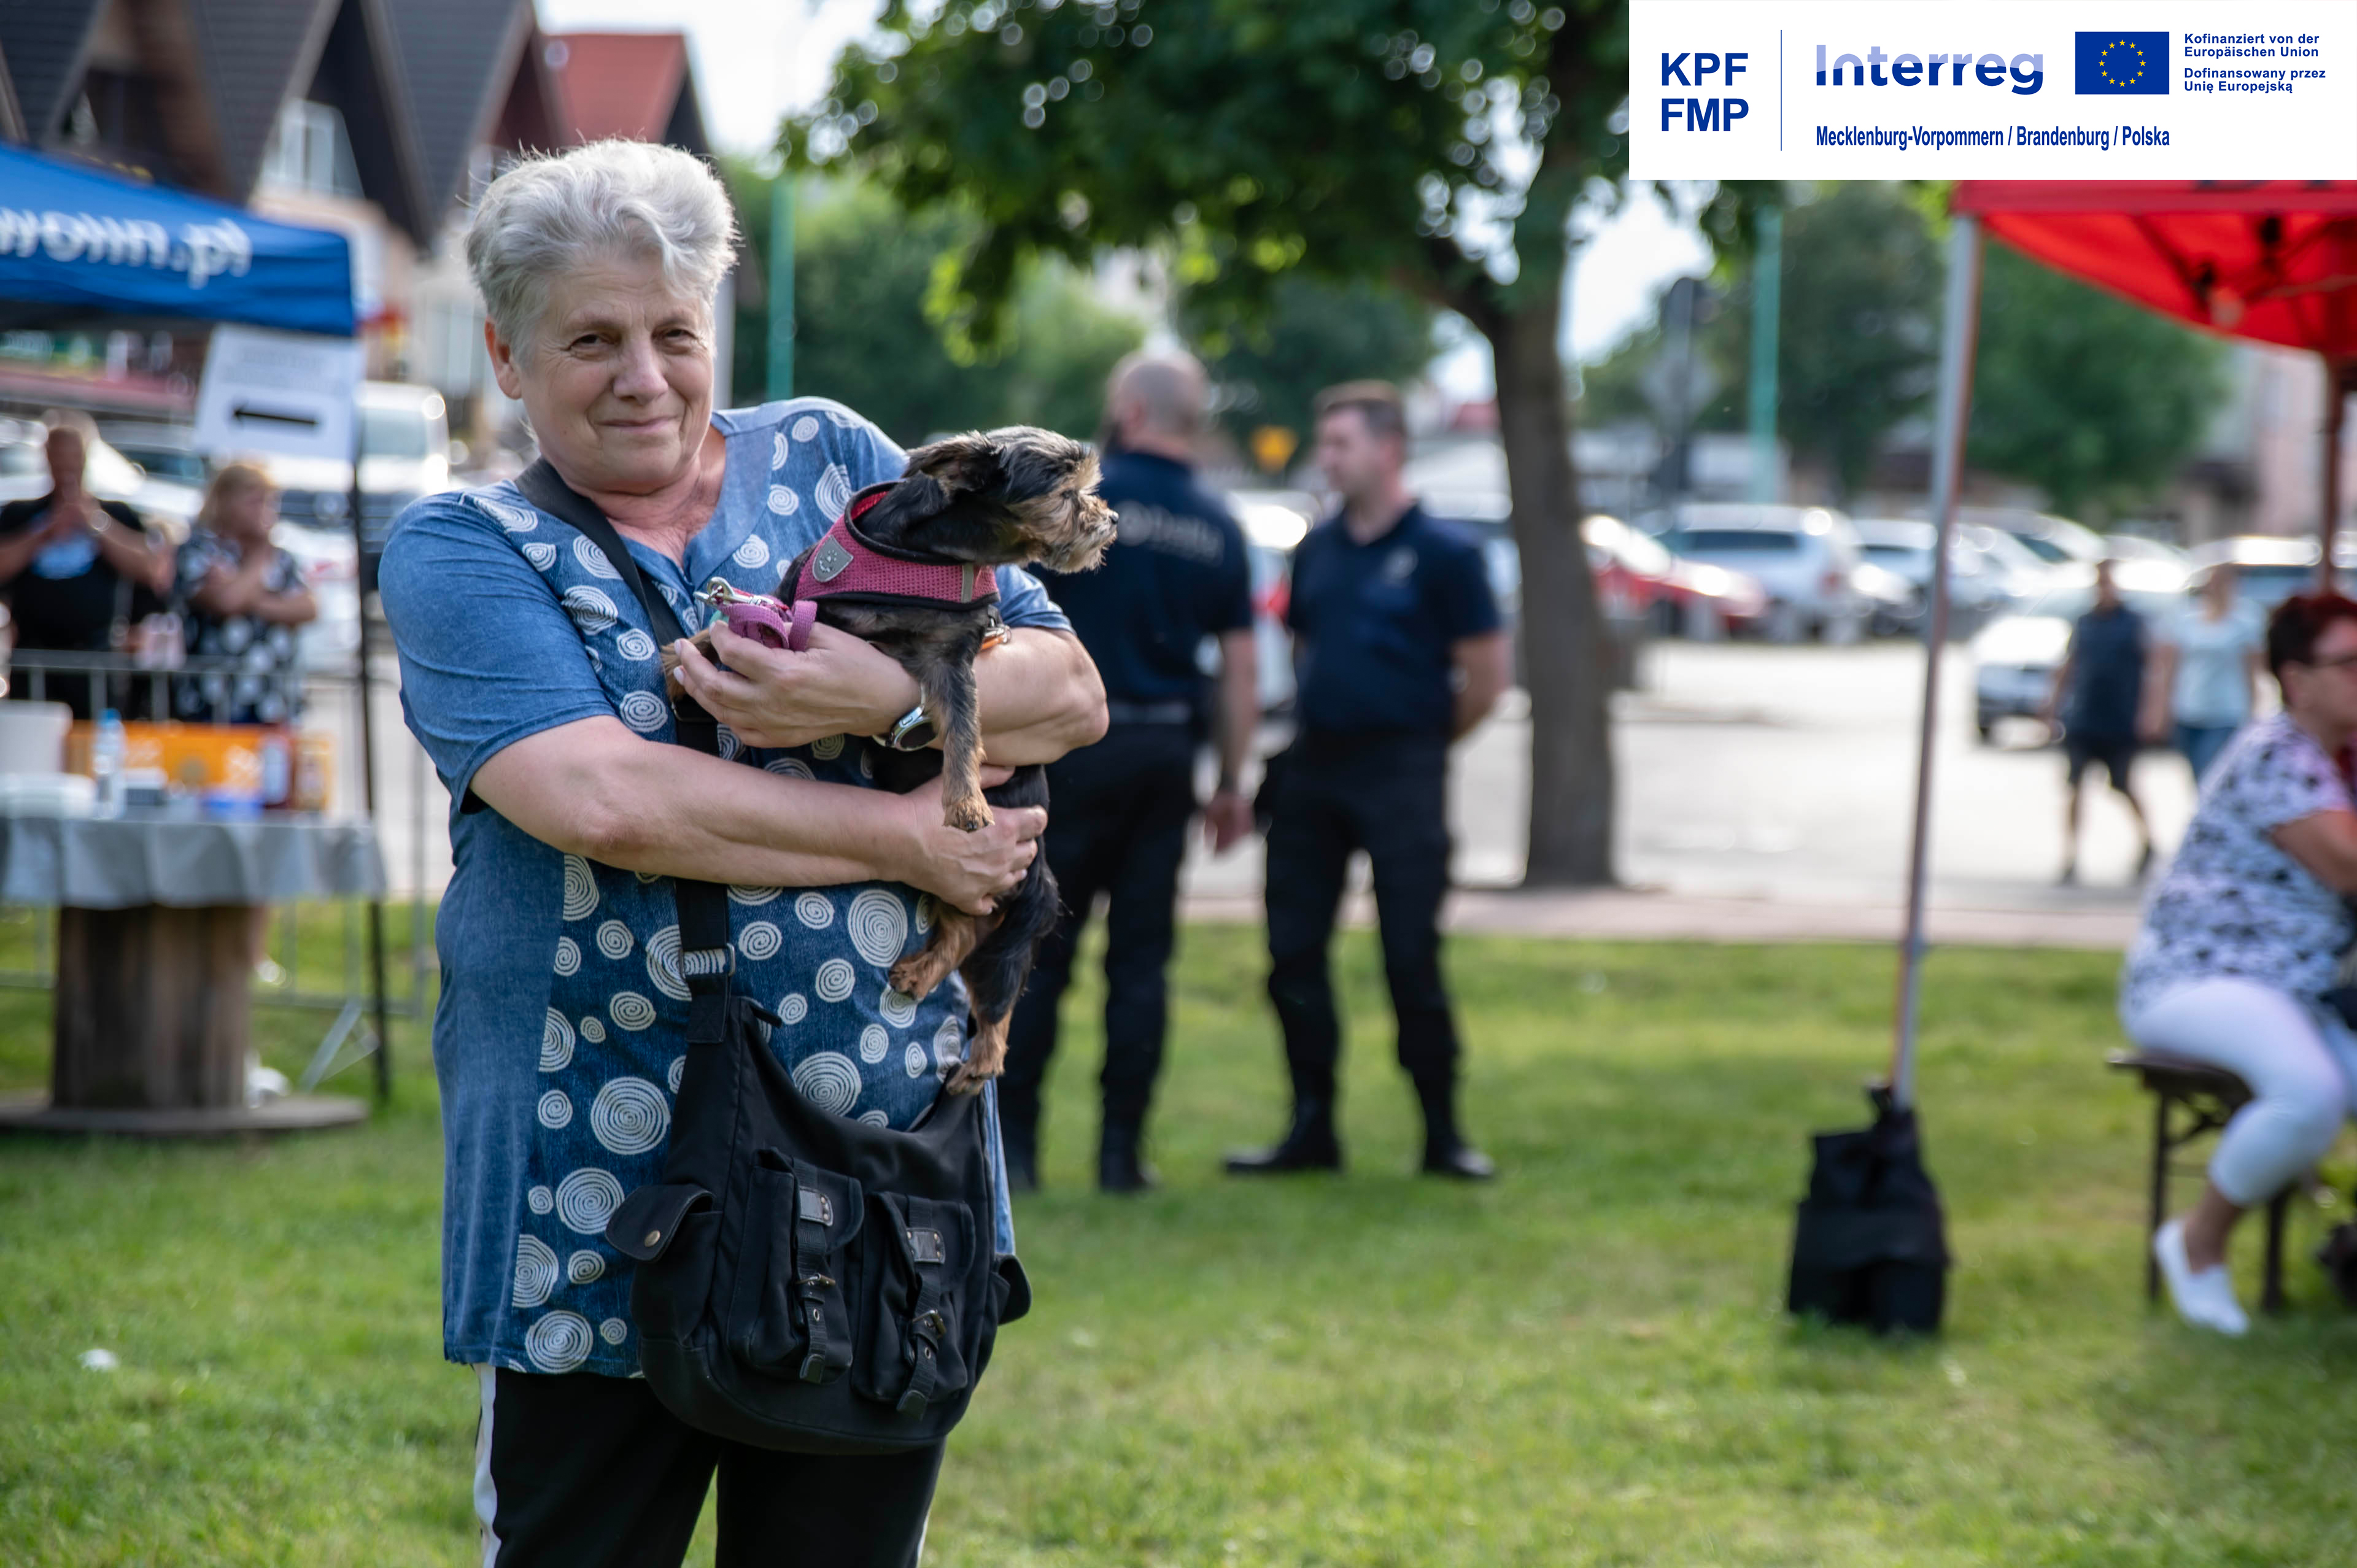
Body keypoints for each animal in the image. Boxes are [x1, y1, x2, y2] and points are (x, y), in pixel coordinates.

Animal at [666, 427, 1116, 1094]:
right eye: (1067, 494)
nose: (1110, 519)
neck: (930, 559)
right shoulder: (801, 602)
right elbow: (749, 618)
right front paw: (681, 658)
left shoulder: (953, 656)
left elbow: (963, 730)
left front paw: (966, 801)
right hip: (949, 883)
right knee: (961, 929)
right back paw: (921, 972)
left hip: (1021, 909)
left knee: (998, 999)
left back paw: (977, 1062)